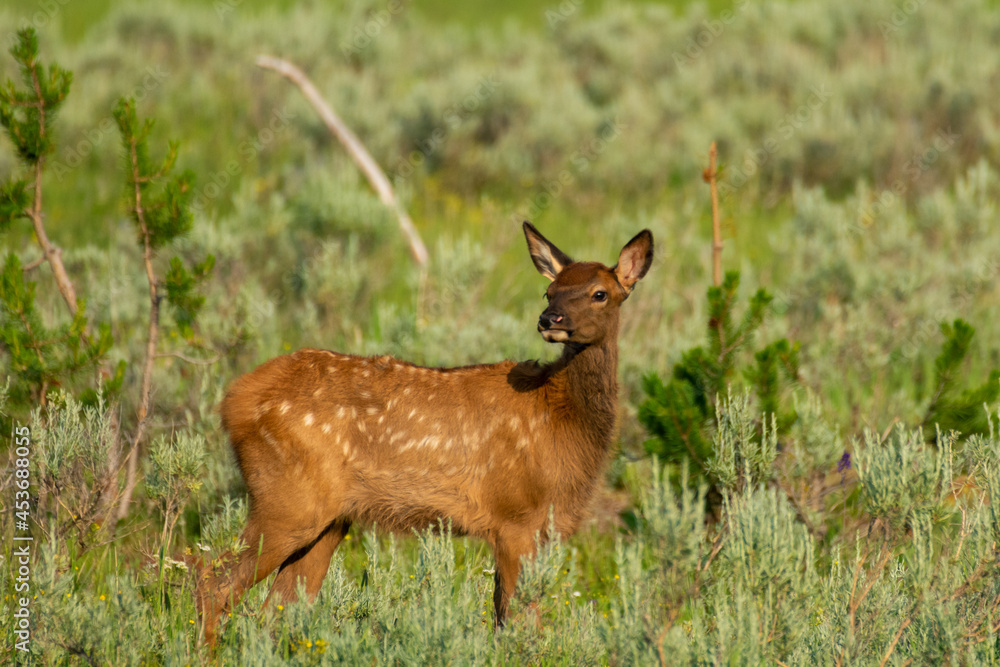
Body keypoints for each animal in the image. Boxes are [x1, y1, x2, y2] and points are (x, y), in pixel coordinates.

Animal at [197, 221, 653, 646]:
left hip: (329, 518)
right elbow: (514, 619)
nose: (550, 320)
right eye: (549, 291)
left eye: (600, 293)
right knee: (213, 580)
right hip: (286, 498)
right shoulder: (515, 516)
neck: (561, 420)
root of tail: (233, 400)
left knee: (278, 608)